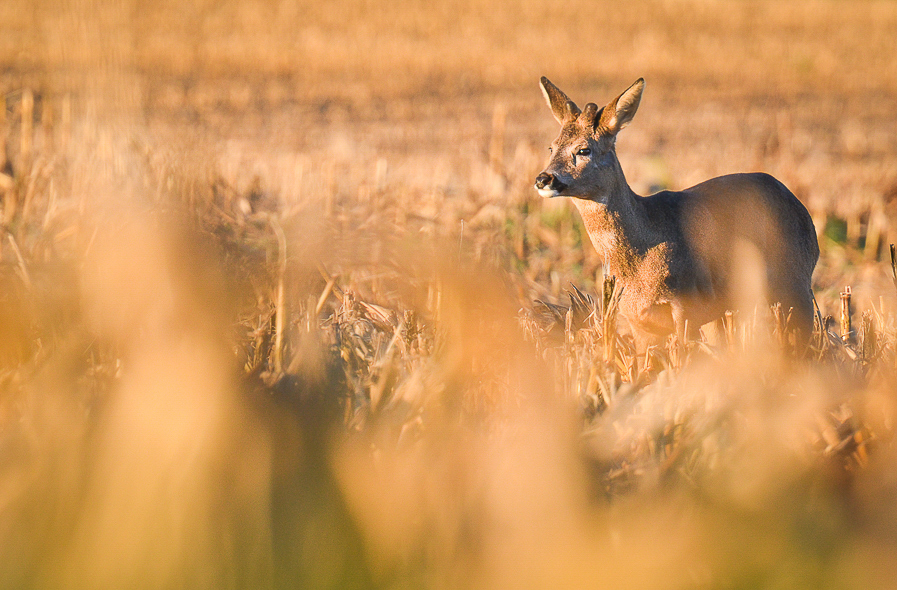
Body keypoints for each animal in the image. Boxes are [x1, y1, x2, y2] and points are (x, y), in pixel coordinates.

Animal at [532, 76, 820, 350]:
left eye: (583, 149)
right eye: (552, 147)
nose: (543, 179)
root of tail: (798, 204)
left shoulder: (686, 308)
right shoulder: (637, 321)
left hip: (795, 281)